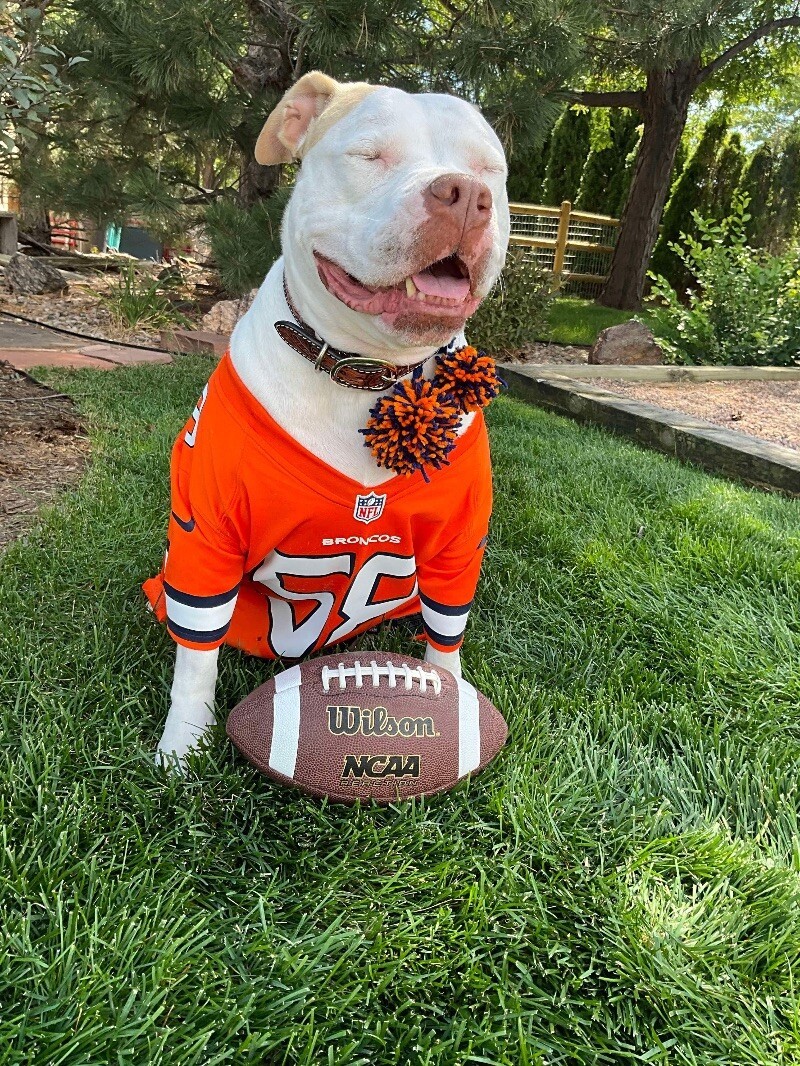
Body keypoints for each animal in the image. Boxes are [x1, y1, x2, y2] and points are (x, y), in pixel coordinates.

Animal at [147, 70, 509, 763]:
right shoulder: (206, 535)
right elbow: (197, 652)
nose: (465, 193)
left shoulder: (459, 544)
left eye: (490, 171)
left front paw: (451, 700)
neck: (367, 373)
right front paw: (183, 743)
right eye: (369, 155)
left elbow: (447, 629)